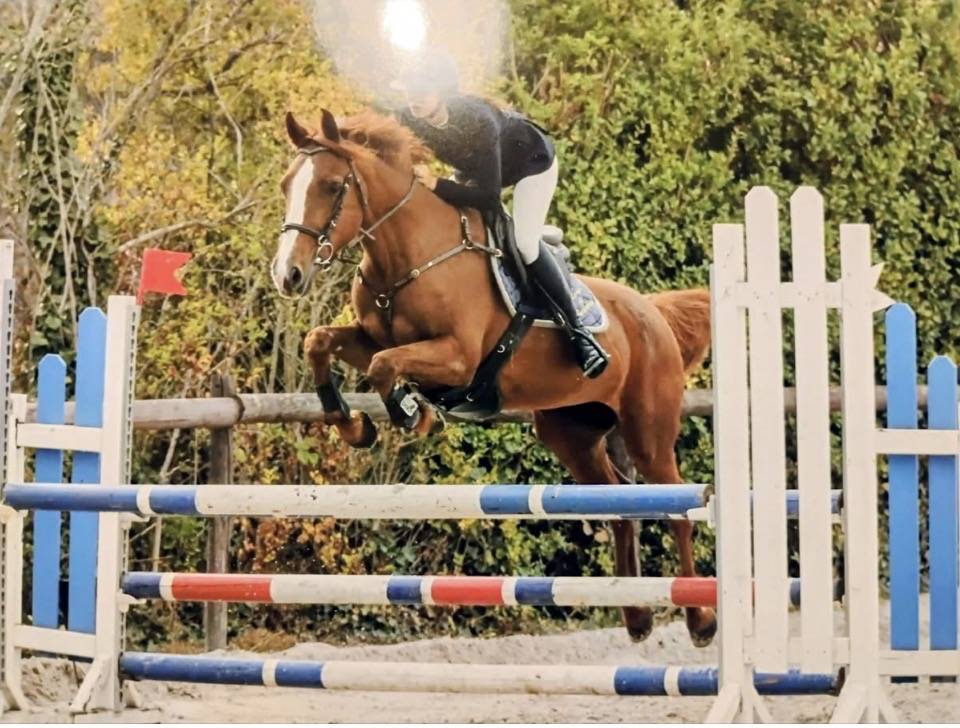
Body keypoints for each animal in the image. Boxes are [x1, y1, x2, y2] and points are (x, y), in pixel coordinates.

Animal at [271, 108, 717, 647]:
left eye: (333, 185)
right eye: (286, 184)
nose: (287, 275)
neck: (407, 256)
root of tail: (651, 312)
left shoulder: (458, 357)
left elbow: (385, 367)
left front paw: (412, 414)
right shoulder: (370, 338)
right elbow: (321, 342)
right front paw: (355, 425)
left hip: (649, 431)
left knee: (677, 509)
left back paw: (700, 621)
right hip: (572, 432)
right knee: (618, 506)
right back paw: (636, 618)